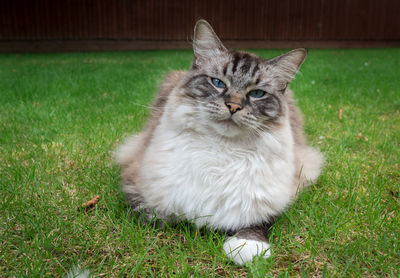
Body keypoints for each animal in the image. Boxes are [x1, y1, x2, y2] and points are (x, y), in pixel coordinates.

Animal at [115, 19, 322, 264]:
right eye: (218, 83)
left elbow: (258, 221)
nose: (233, 106)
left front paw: (246, 247)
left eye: (257, 94)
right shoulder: (139, 186)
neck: (222, 150)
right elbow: (154, 216)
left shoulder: (281, 193)